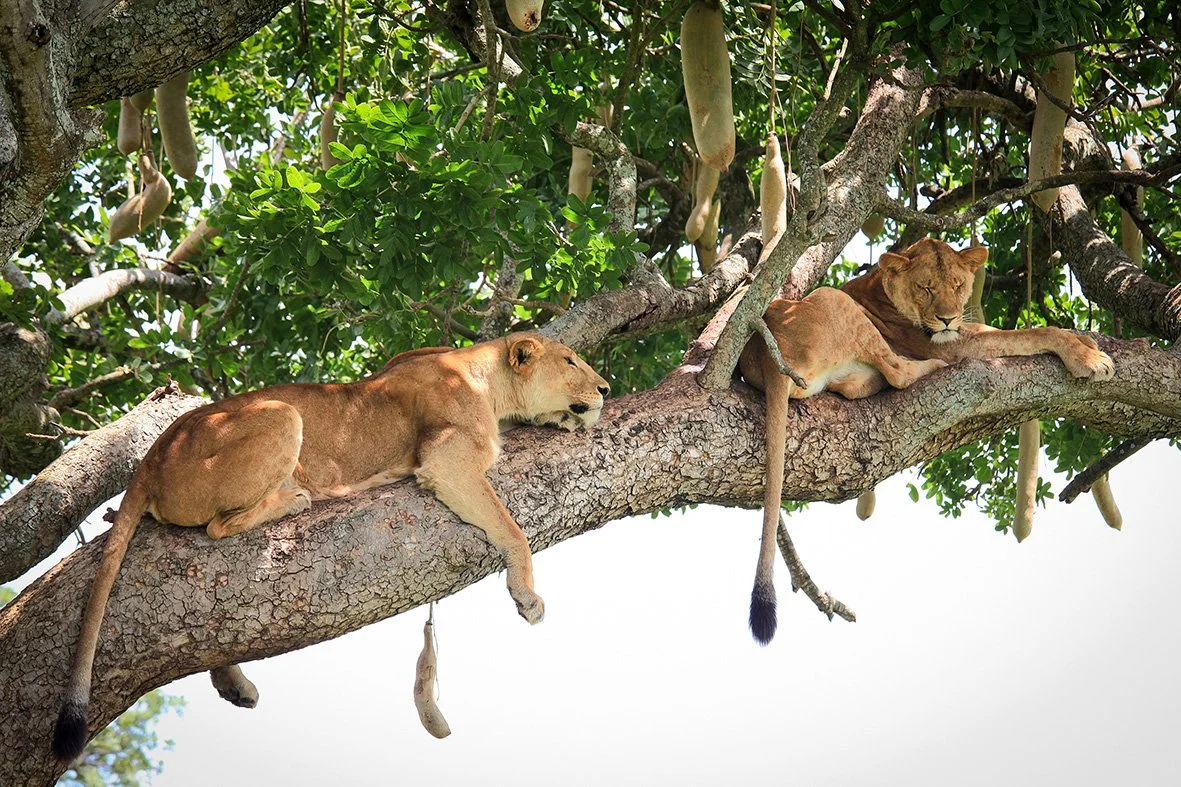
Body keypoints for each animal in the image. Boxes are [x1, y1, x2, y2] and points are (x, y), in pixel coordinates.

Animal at [53, 332, 610, 760]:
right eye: (570, 361)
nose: (606, 389)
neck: (487, 379)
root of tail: (151, 456)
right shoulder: (447, 459)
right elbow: (511, 527)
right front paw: (527, 596)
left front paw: (563, 419)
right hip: (280, 415)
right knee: (216, 528)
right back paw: (292, 500)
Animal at [740, 237, 1114, 645]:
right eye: (926, 288)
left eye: (957, 285)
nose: (948, 318)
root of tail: (763, 356)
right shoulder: (948, 344)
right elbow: (1029, 333)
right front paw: (1088, 358)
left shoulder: (962, 329)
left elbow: (1017, 328)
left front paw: (1084, 339)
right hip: (833, 298)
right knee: (898, 372)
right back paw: (927, 370)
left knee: (861, 383)